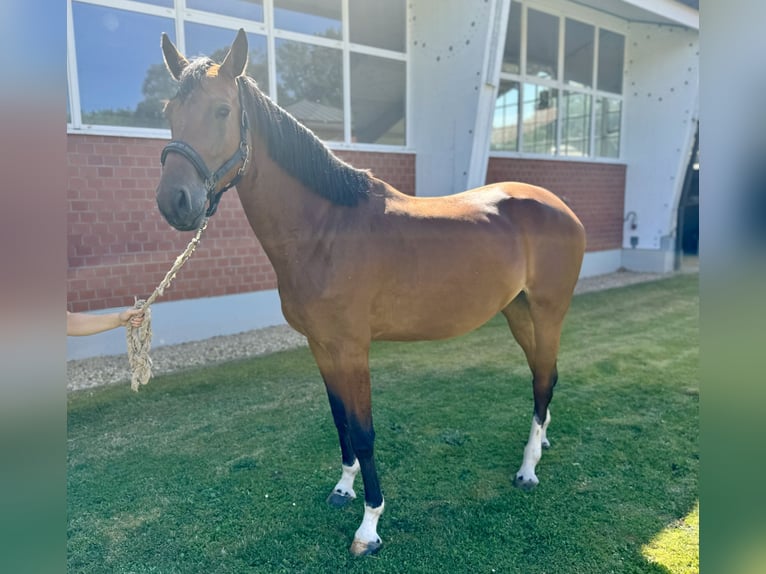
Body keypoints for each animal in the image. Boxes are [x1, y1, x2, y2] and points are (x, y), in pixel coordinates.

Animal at [156, 29, 588, 556]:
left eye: (221, 110)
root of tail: (560, 207)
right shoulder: (320, 346)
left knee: (543, 379)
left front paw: (370, 525)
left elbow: (363, 432)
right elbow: (340, 420)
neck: (326, 229)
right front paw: (344, 488)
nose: (175, 202)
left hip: (547, 311)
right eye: (169, 112)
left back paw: (527, 469)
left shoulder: (351, 348)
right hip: (518, 312)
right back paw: (540, 443)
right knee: (545, 376)